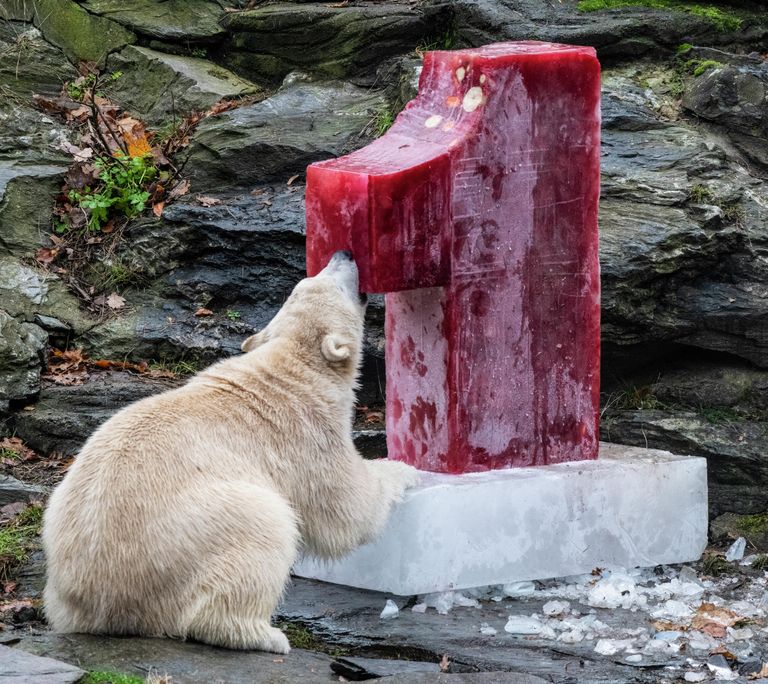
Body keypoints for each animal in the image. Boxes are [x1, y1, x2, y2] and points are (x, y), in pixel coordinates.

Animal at [42, 250, 419, 654]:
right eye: (333, 280)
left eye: (310, 278)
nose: (343, 254)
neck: (293, 362)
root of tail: (98, 601)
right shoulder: (309, 431)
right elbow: (347, 510)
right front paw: (403, 469)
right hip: (195, 529)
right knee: (266, 528)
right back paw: (266, 635)